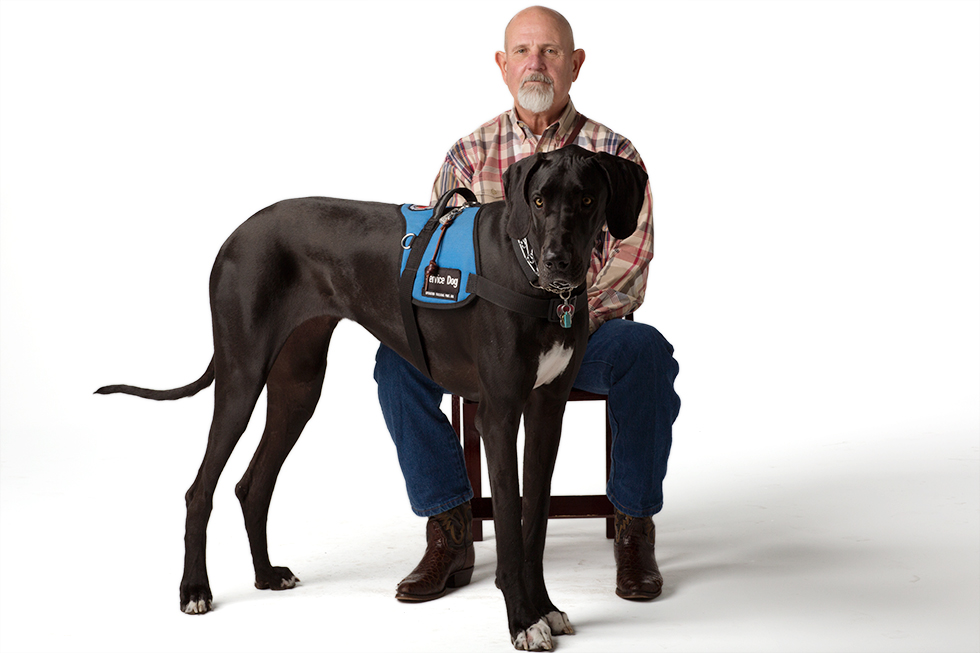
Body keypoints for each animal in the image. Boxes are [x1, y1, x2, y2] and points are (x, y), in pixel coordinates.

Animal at [97, 145, 647, 650]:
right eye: (537, 200)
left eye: (588, 198)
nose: (558, 262)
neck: (528, 274)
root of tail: (238, 232)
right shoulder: (499, 416)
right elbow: (512, 530)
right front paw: (522, 621)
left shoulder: (547, 411)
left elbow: (535, 526)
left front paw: (545, 608)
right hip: (241, 377)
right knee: (200, 490)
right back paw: (194, 590)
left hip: (297, 389)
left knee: (254, 485)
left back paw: (267, 574)